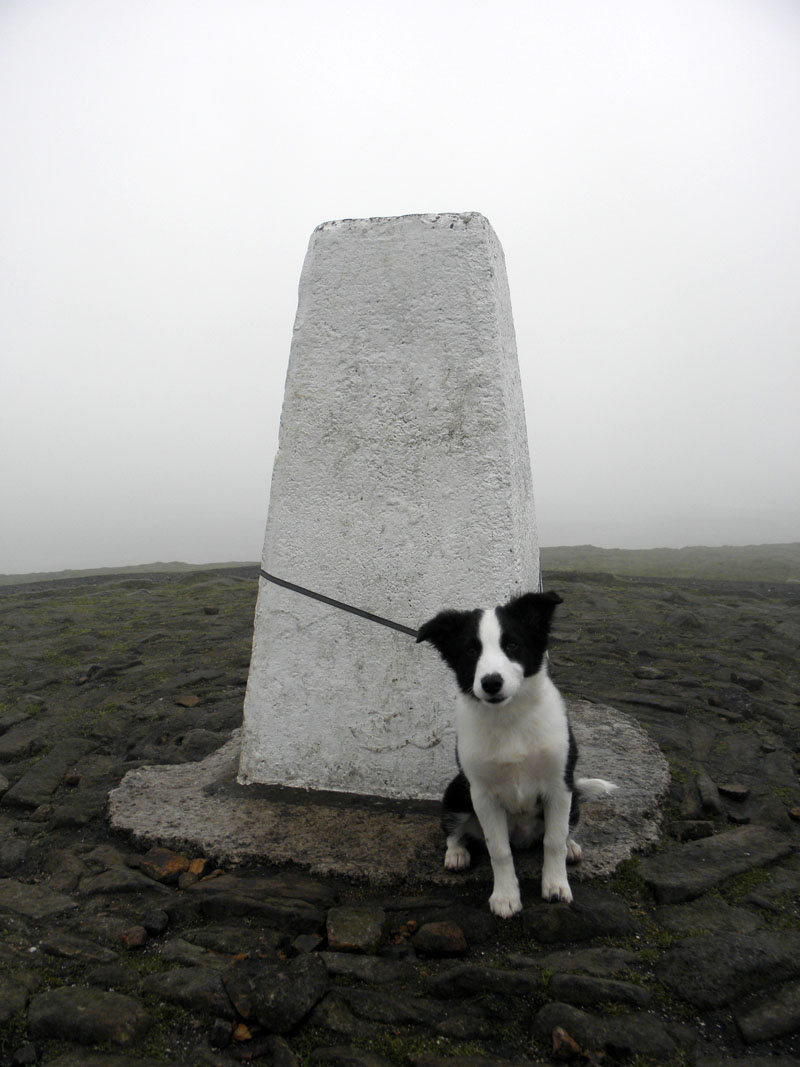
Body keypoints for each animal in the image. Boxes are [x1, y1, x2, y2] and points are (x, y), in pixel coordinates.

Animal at [416, 593, 618, 917]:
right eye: (471, 650)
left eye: (512, 645)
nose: (491, 683)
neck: (509, 718)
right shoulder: (482, 795)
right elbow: (498, 850)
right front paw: (505, 897)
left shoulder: (559, 786)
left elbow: (553, 841)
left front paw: (556, 886)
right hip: (457, 790)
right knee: (452, 828)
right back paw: (457, 853)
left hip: (572, 794)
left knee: (563, 831)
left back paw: (572, 847)